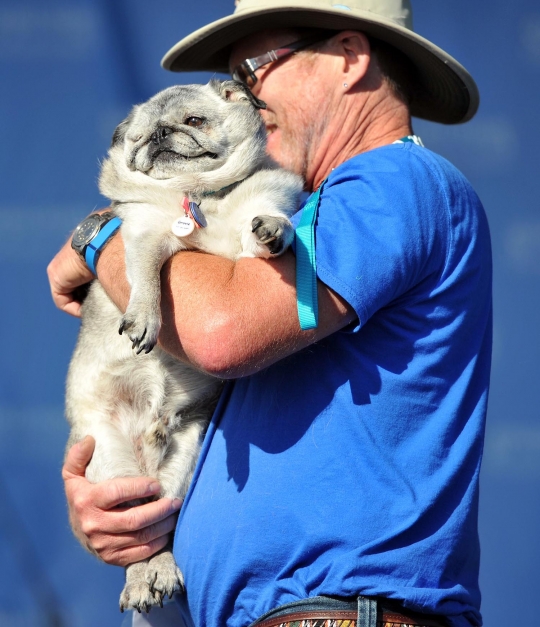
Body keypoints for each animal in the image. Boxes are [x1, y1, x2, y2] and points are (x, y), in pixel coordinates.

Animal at [65, 79, 302, 612]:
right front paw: (144, 317)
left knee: (165, 529)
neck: (199, 197)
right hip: (113, 469)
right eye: (138, 138)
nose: (159, 135)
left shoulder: (258, 214)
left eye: (194, 121)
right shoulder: (144, 234)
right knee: (140, 538)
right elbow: (146, 278)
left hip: (184, 461)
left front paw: (275, 230)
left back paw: (162, 570)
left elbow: (266, 223)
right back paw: (141, 579)